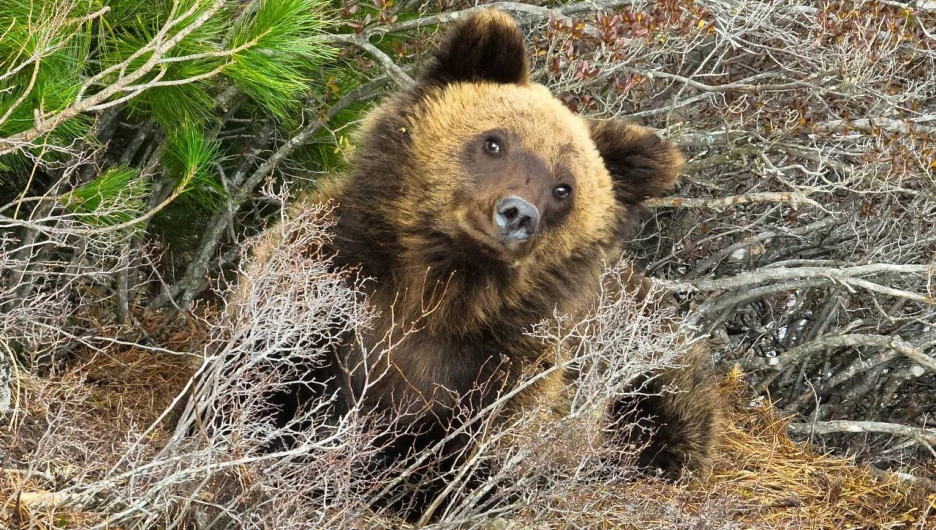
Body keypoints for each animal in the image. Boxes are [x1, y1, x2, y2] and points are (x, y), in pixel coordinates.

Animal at [247, 7, 716, 520]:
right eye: (495, 143)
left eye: (564, 187)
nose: (517, 213)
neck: (441, 289)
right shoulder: (326, 278)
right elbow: (276, 374)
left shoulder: (510, 364)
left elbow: (464, 454)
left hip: (657, 361)